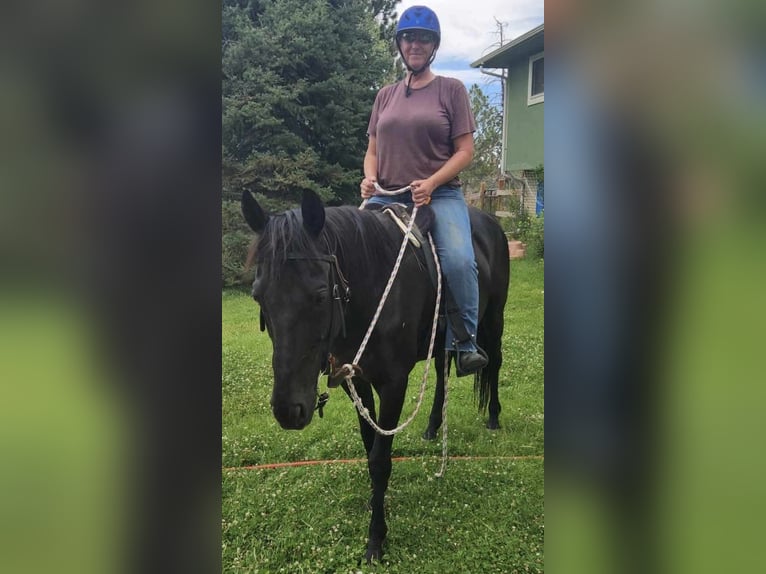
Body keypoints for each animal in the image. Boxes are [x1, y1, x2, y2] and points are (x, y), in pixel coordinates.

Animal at [244, 189, 510, 564]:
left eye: (320, 295)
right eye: (259, 296)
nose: (288, 410)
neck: (375, 285)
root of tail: (491, 223)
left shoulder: (393, 384)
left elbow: (381, 460)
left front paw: (375, 539)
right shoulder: (357, 379)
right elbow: (369, 446)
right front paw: (375, 504)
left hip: (494, 317)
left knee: (494, 363)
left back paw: (493, 417)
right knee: (441, 374)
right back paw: (432, 427)